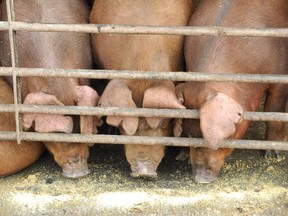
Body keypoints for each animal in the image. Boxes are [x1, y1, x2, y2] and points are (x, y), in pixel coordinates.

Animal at [176, 0, 288, 183]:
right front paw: (182, 156)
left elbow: (273, 113)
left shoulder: (279, 78)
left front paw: (273, 155)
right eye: (188, 134)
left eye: (226, 136)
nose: (200, 178)